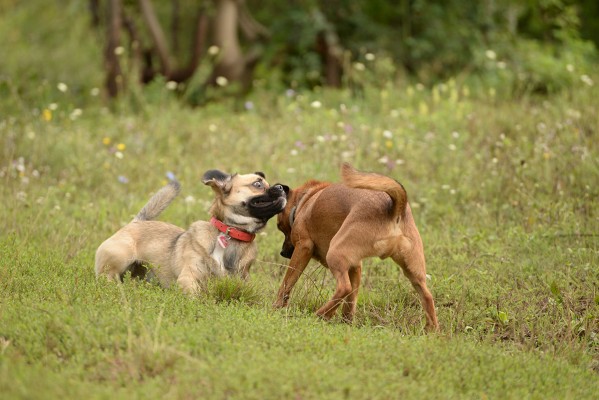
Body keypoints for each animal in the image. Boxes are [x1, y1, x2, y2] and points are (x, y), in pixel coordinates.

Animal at [95, 169, 288, 294]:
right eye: (258, 184)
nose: (282, 187)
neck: (231, 233)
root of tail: (136, 222)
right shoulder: (188, 279)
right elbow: (197, 295)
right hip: (121, 257)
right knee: (107, 277)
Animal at [274, 162, 438, 332]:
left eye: (280, 226)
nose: (283, 252)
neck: (305, 200)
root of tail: (394, 209)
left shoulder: (302, 248)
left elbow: (287, 283)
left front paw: (277, 307)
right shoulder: (355, 266)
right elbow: (351, 301)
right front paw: (347, 322)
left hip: (334, 254)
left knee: (344, 288)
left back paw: (321, 314)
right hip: (414, 271)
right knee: (427, 296)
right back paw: (431, 330)